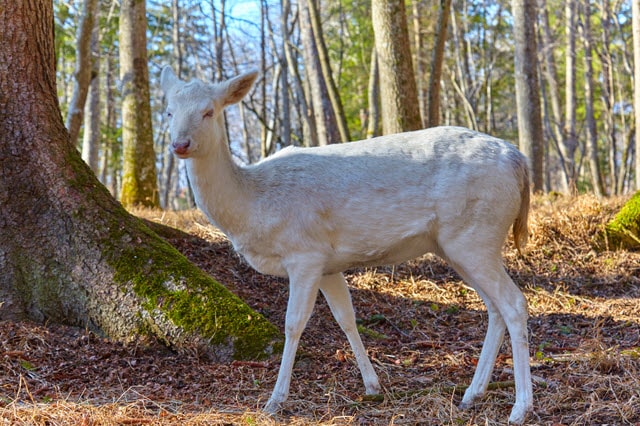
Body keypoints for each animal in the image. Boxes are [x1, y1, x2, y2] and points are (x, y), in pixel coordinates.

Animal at [161, 65, 536, 424]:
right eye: (168, 111)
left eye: (209, 111)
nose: (179, 145)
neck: (254, 205)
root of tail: (519, 159)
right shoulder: (328, 264)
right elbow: (346, 318)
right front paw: (372, 386)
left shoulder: (305, 253)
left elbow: (294, 323)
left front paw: (275, 401)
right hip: (458, 244)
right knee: (494, 308)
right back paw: (472, 394)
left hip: (476, 234)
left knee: (514, 303)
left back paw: (520, 408)